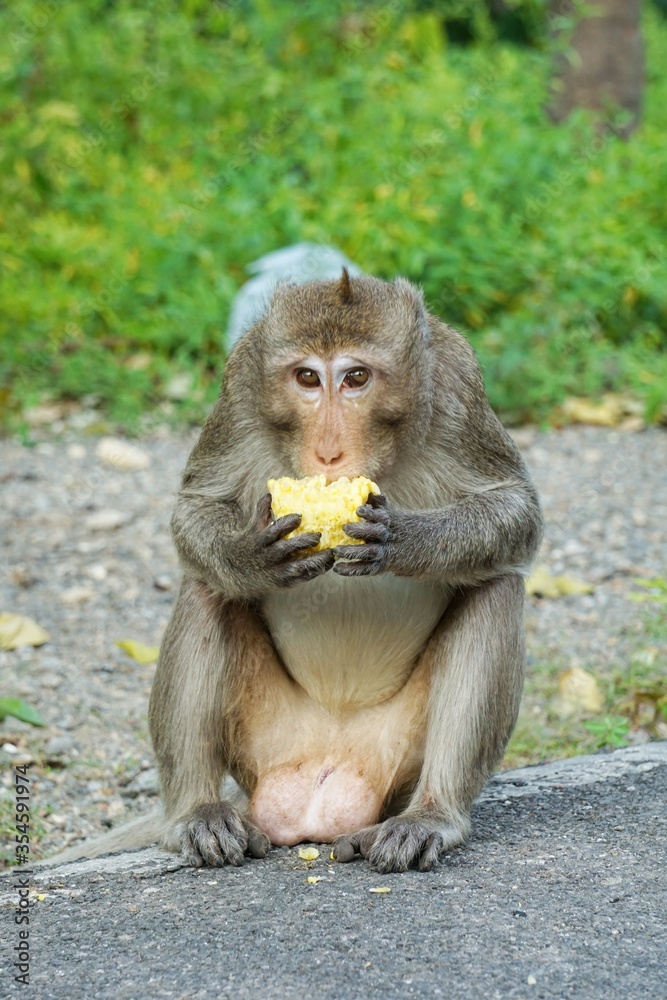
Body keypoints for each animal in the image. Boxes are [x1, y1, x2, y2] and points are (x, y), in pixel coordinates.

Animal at [48, 270, 542, 873]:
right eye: (307, 378)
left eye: (356, 378)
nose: (328, 453)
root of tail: (326, 766)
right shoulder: (240, 383)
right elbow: (196, 507)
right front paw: (250, 558)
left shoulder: (456, 383)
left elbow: (515, 507)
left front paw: (403, 540)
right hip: (263, 743)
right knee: (205, 589)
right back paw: (196, 812)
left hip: (397, 758)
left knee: (497, 585)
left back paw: (432, 815)